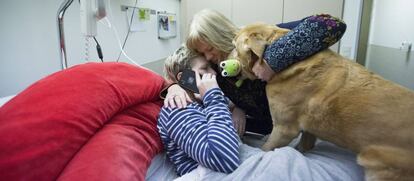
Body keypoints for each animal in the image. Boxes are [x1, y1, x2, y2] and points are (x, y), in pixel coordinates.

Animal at [230, 23, 414, 181]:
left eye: (234, 46)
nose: (223, 62)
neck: (283, 65)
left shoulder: (284, 129)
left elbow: (265, 149)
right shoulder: (308, 130)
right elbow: (304, 145)